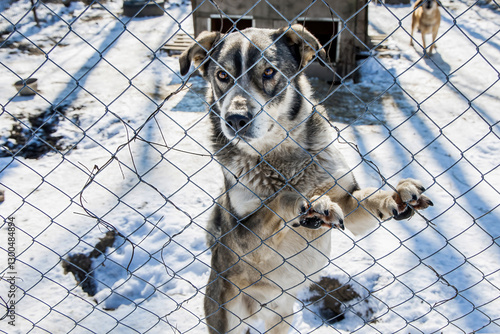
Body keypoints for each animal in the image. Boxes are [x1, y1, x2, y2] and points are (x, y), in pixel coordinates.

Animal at [180, 24, 434, 332]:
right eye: (222, 76)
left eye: (268, 72)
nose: (236, 119)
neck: (279, 155)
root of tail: (257, 309)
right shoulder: (242, 235)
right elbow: (277, 201)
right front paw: (308, 205)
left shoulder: (347, 203)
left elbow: (369, 197)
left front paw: (396, 196)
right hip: (228, 316)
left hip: (282, 318)